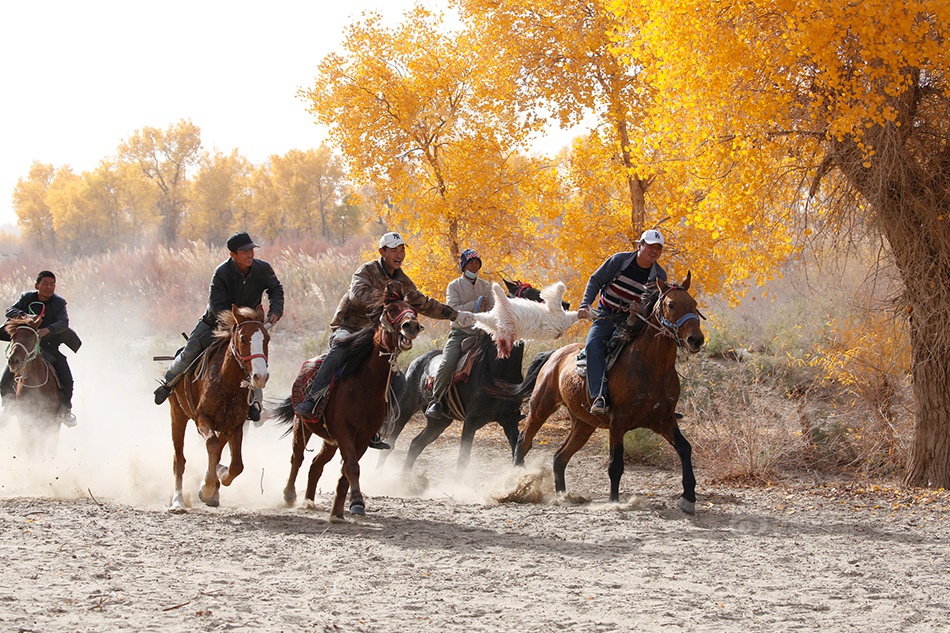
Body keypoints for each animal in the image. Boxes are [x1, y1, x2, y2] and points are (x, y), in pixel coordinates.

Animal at [166, 304, 272, 512]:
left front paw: (219, 477)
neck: (227, 384)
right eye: (243, 338)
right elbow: (212, 444)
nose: (260, 376)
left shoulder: (236, 425)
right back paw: (178, 500)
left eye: (267, 338)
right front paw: (206, 488)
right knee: (179, 459)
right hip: (177, 413)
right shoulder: (202, 418)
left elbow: (237, 465)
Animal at [276, 282, 424, 520]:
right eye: (390, 310)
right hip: (303, 426)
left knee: (316, 465)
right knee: (297, 457)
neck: (365, 386)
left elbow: (347, 470)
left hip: (330, 441)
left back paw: (309, 500)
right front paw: (356, 502)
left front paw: (341, 509)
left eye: (415, 311)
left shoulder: (362, 437)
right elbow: (352, 467)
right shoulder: (345, 431)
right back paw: (289, 495)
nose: (411, 326)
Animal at [382, 330, 552, 474]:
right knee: (390, 442)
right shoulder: (471, 420)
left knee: (416, 444)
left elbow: (518, 450)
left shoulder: (509, 419)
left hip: (439, 422)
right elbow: (463, 459)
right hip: (404, 409)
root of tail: (416, 362)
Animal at [512, 272, 708, 512]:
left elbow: (684, 448)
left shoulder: (664, 419)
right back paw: (514, 484)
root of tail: (554, 355)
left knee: (559, 457)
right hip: (542, 405)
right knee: (523, 442)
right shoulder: (618, 422)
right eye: (671, 304)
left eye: (694, 304)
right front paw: (614, 501)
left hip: (583, 424)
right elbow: (616, 464)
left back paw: (562, 496)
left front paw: (688, 497)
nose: (695, 339)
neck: (652, 367)